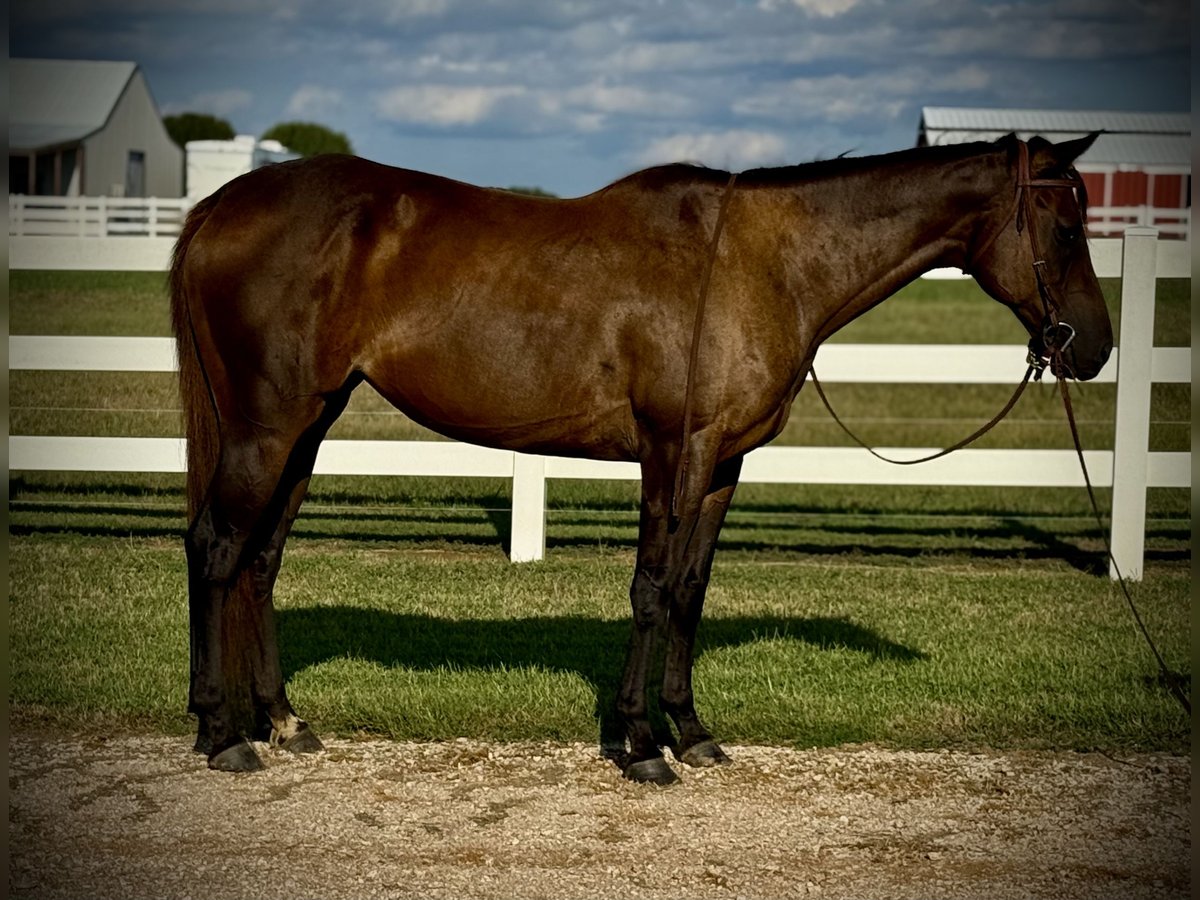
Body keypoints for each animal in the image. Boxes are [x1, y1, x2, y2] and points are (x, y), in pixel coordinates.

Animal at [170, 132, 1112, 783]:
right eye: (1067, 229)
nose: (1093, 347)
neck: (759, 261)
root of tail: (222, 206)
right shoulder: (675, 452)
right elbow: (652, 588)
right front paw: (640, 744)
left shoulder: (723, 466)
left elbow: (690, 591)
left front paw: (691, 733)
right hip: (267, 426)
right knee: (216, 548)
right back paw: (222, 735)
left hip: (308, 425)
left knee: (259, 560)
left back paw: (284, 722)